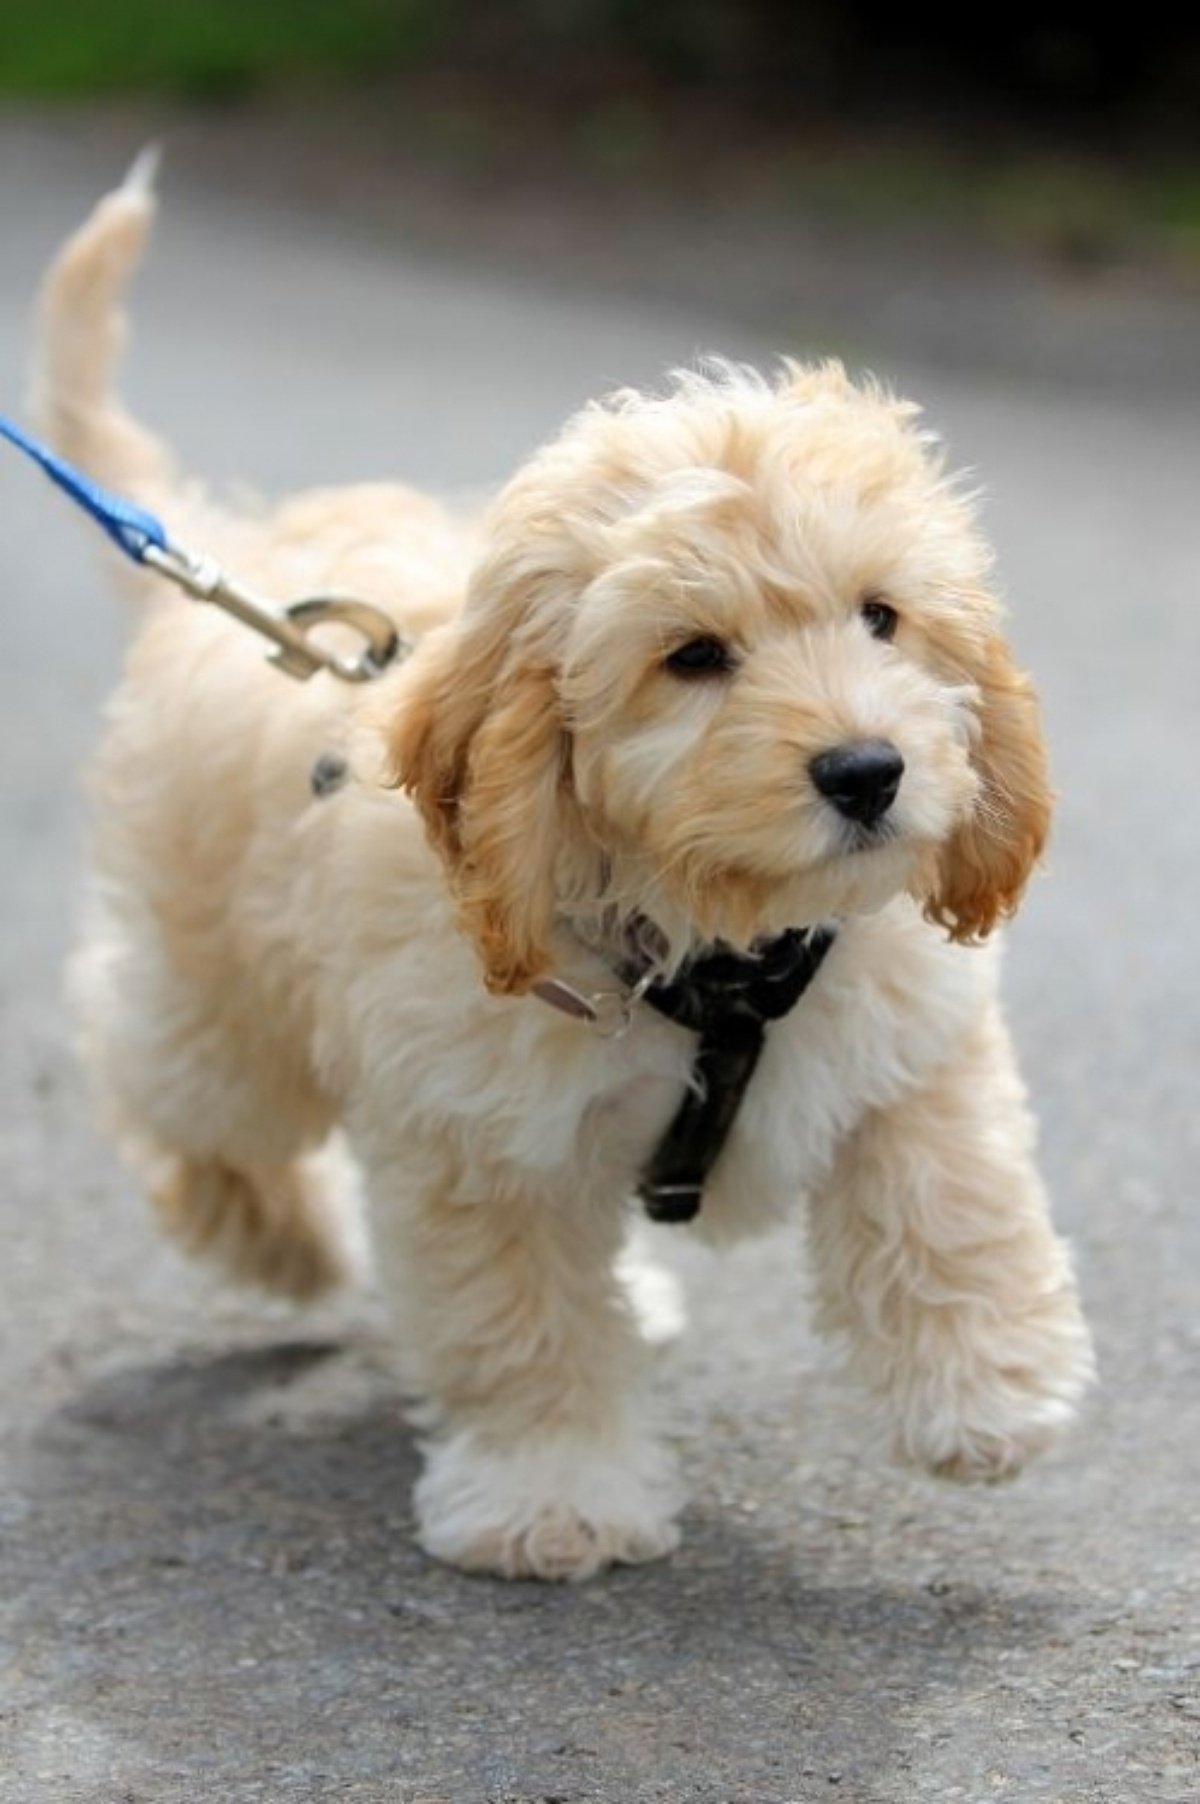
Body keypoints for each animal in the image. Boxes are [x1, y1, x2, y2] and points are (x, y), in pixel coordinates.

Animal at [35, 169, 1097, 1580]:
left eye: (882, 616)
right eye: (693, 657)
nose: (869, 771)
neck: (711, 954)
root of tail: (226, 554)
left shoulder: (907, 1034)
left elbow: (953, 1190)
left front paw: (990, 1387)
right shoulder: (477, 1136)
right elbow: (521, 1319)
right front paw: (552, 1496)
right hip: (218, 1005)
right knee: (165, 1083)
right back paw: (291, 1240)